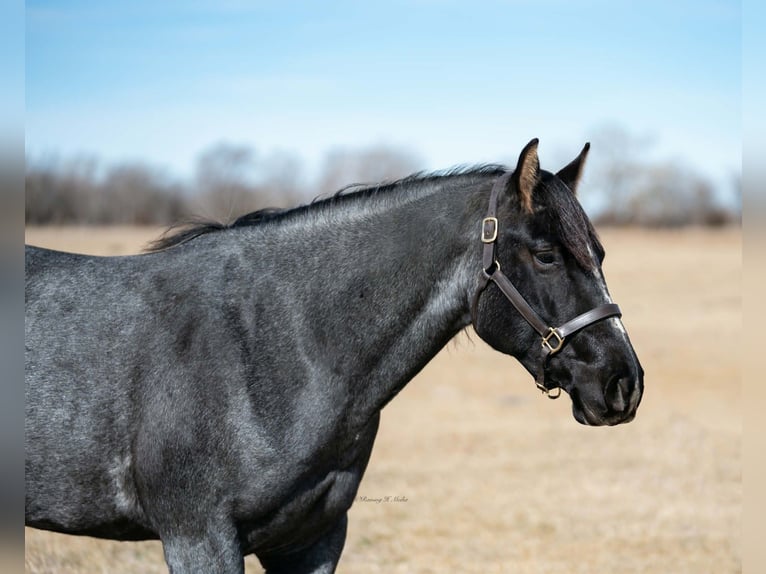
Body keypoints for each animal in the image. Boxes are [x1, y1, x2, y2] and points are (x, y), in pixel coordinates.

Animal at [25, 139, 643, 573]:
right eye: (545, 255)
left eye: (600, 254)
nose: (623, 382)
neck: (265, 345)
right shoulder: (198, 538)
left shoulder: (313, 541)